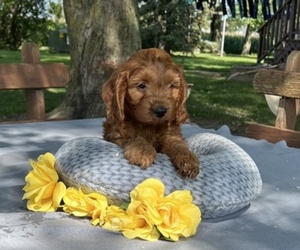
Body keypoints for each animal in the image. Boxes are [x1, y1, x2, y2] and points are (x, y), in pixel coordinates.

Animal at [101, 47, 199, 179]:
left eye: (171, 85)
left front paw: (188, 160)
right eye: (142, 85)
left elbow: (178, 145)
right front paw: (143, 151)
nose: (161, 111)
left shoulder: (172, 135)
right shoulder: (117, 133)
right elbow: (134, 136)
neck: (150, 126)